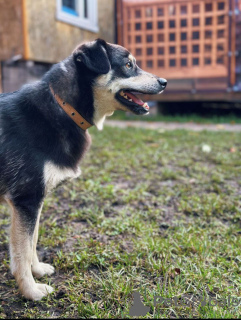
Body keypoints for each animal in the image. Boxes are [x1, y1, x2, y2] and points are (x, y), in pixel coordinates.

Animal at [0, 38, 167, 302]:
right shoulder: (26, 199)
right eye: (128, 65)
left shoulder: (32, 203)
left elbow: (32, 241)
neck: (63, 107)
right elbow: (22, 251)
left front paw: (37, 270)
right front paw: (31, 291)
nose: (164, 82)